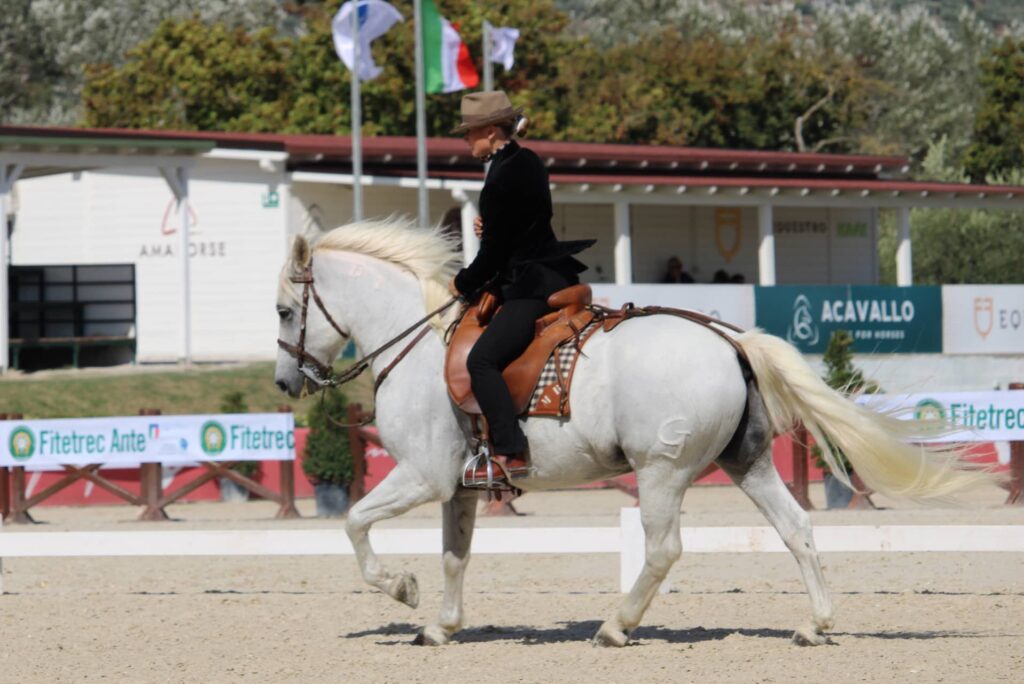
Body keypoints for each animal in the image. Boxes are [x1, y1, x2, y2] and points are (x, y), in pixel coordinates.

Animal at [274, 218, 991, 647]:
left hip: (661, 469)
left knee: (666, 548)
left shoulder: (422, 476)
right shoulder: (461, 487)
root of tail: (729, 339)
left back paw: (617, 627)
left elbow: (354, 524)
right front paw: (441, 627)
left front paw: (401, 589)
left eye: (283, 310)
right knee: (797, 528)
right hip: (746, 463)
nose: (285, 384)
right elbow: (455, 555)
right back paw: (814, 625)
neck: (417, 344)